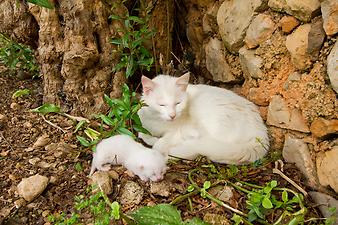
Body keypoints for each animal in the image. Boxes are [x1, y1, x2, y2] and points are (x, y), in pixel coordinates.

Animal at [138, 73, 270, 164]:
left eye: (178, 103)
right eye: (162, 105)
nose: (172, 115)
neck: (159, 122)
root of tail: (260, 132)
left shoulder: (179, 131)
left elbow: (161, 142)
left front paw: (160, 149)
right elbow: (144, 134)